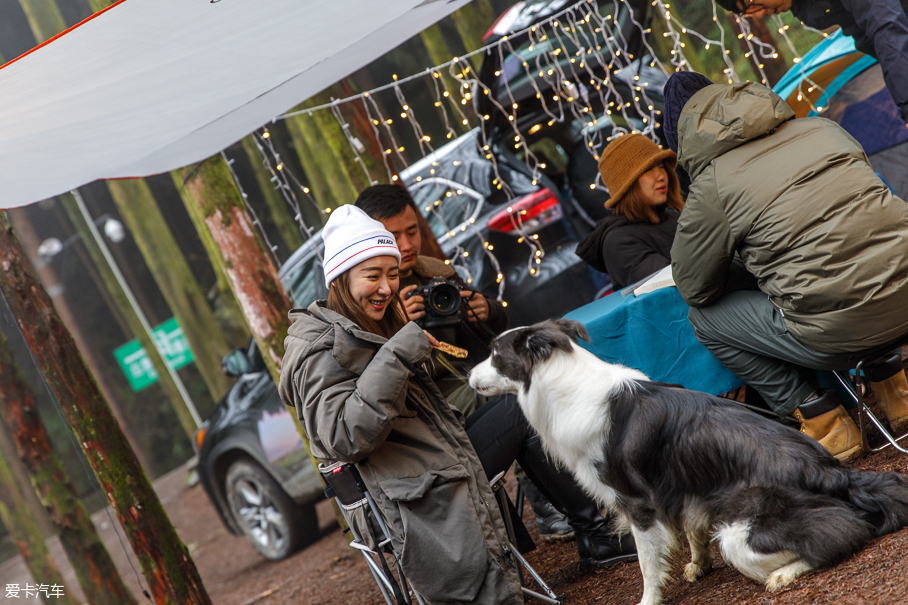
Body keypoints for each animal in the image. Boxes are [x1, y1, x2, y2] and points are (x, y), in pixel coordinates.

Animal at [468, 318, 908, 600]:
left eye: (494, 354)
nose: (468, 378)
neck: (565, 383)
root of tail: (834, 473)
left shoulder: (637, 502)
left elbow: (647, 565)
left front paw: (649, 599)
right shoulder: (681, 482)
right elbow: (692, 523)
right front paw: (699, 563)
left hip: (740, 533)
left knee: (840, 532)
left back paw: (784, 574)